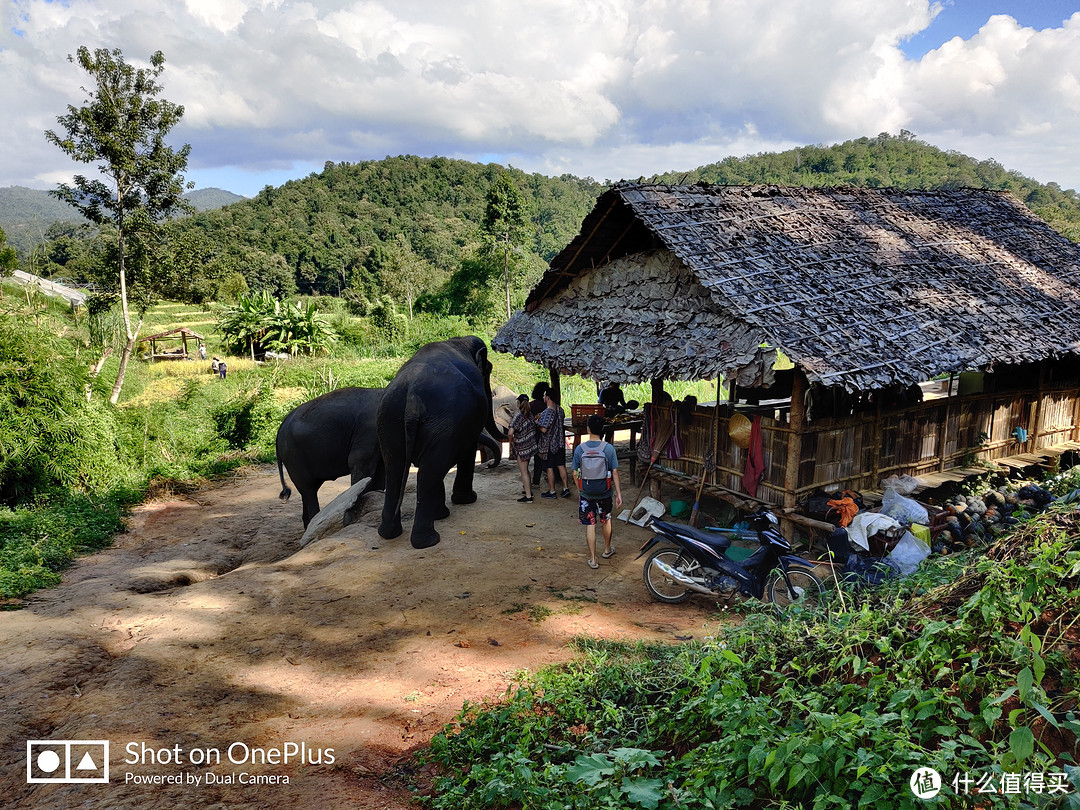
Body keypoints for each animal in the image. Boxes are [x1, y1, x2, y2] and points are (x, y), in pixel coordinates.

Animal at [276, 384, 498, 529]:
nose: (489, 465)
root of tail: (280, 430)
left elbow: (382, 470)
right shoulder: (368, 431)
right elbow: (360, 464)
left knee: (308, 491)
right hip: (294, 455)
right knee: (308, 489)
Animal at [378, 332, 507, 548]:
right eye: (488, 370)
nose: (490, 465)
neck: (459, 341)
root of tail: (413, 399)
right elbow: (467, 450)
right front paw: (467, 500)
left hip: (390, 422)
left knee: (397, 470)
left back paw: (389, 533)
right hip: (442, 424)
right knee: (430, 471)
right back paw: (428, 540)